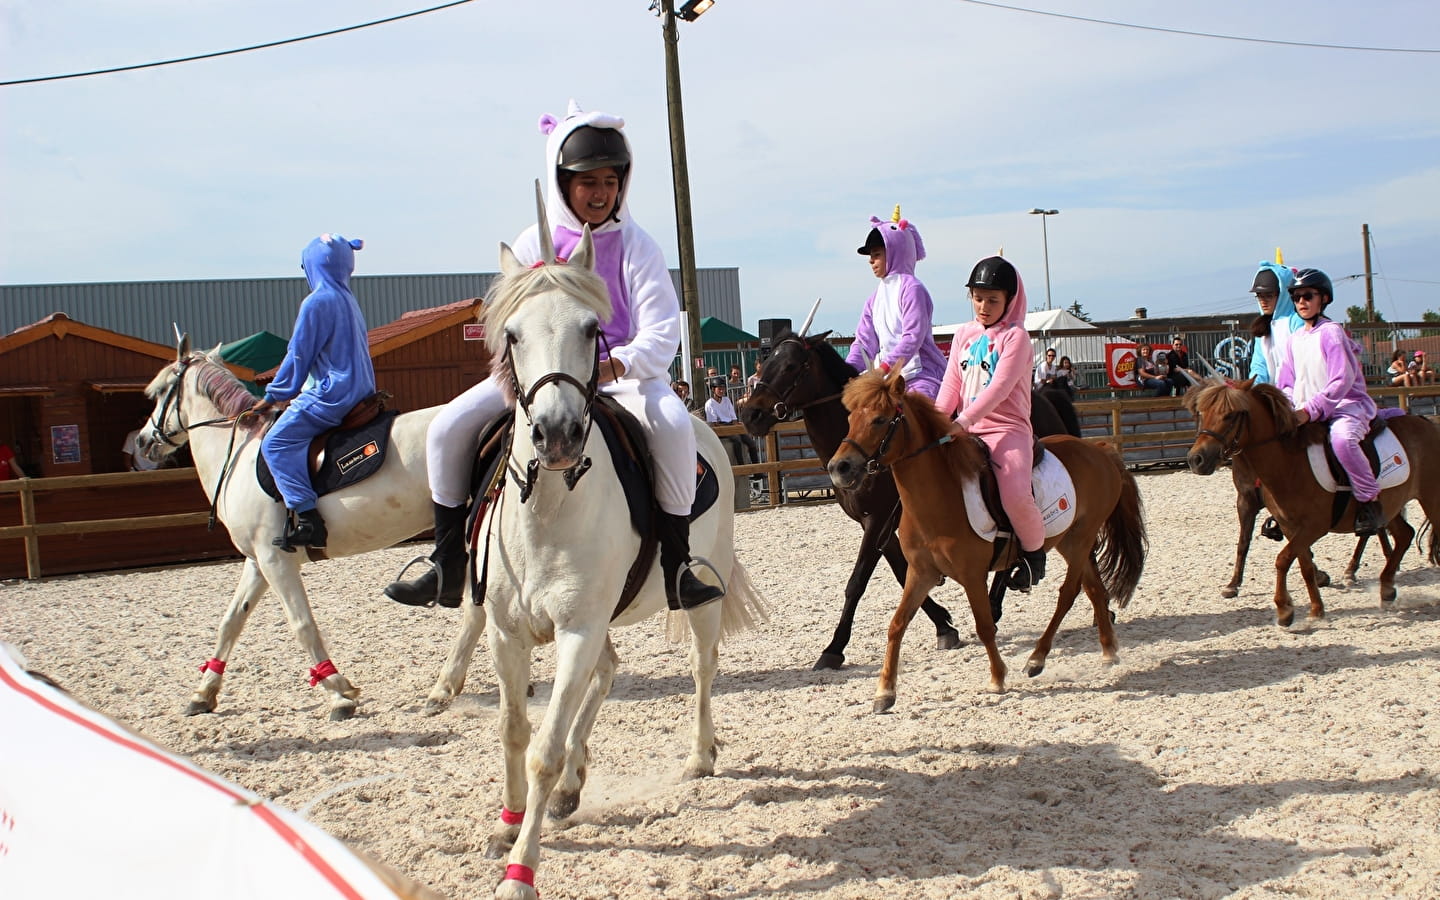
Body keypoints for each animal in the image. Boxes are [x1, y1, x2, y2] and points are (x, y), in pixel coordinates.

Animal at [134, 339, 437, 720]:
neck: (239, 455)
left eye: (160, 391)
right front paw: (203, 693)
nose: (143, 441)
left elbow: (302, 625)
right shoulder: (257, 562)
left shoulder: (275, 560)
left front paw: (338, 693)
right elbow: (231, 622)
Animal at [426, 226, 766, 898]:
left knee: (701, 669)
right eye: (511, 334)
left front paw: (521, 871)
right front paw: (507, 823)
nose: (556, 435)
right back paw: (572, 788)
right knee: (608, 673)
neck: (549, 506)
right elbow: (515, 730)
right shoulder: (507, 632)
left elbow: (545, 748)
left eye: (590, 329)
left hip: (698, 603)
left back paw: (698, 756)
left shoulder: (577, 629)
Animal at [743, 322, 1082, 668]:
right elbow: (901, 571)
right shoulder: (876, 523)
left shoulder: (879, 519)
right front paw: (943, 624)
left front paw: (834, 648)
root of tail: (1045, 396)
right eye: (764, 362)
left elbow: (858, 581)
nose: (750, 414)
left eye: (790, 366)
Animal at [823, 362, 1146, 708]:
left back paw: (1037, 658)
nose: (839, 467)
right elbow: (897, 624)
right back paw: (1108, 651)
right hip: (1072, 541)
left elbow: (984, 625)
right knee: (1094, 589)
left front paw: (997, 679)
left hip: (1081, 537)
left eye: (880, 420)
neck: (938, 497)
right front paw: (885, 691)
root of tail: (1100, 450)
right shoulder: (921, 573)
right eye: (850, 420)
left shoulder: (972, 575)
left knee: (1068, 593)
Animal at [1180, 374, 1440, 622]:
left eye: (1231, 415)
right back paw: (1385, 587)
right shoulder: (1288, 525)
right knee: (1404, 534)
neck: (1290, 464)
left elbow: (1283, 559)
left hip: (1431, 498)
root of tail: (1428, 423)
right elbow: (1302, 563)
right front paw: (1316, 609)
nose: (1196, 459)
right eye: (1201, 412)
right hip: (1391, 505)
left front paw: (1284, 609)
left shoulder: (1314, 526)